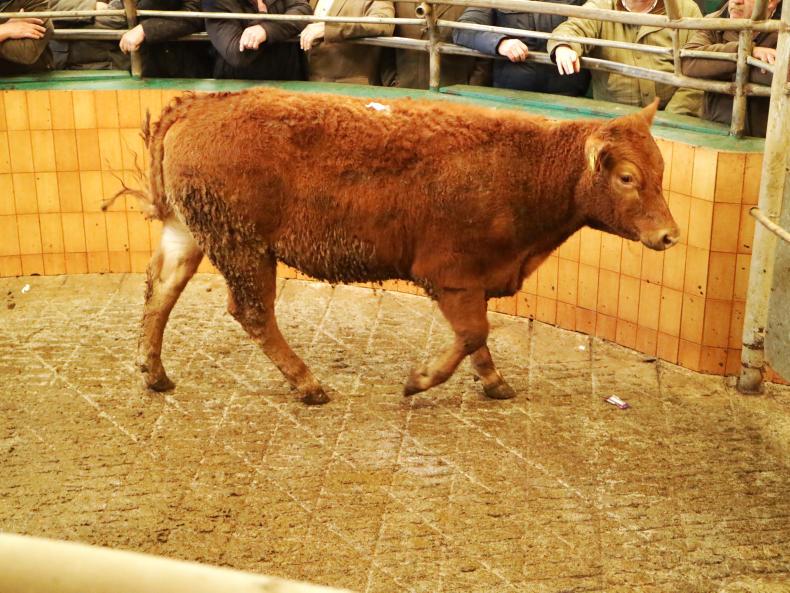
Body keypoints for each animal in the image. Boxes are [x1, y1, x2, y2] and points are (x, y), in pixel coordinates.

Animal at [133, 88, 679, 405]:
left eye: (660, 171)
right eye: (627, 177)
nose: (669, 235)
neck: (524, 166)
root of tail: (198, 102)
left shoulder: (473, 281)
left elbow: (477, 339)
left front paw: (494, 382)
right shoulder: (451, 275)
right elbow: (473, 333)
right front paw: (420, 380)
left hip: (190, 232)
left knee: (161, 290)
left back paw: (154, 373)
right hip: (243, 245)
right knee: (252, 312)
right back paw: (308, 383)